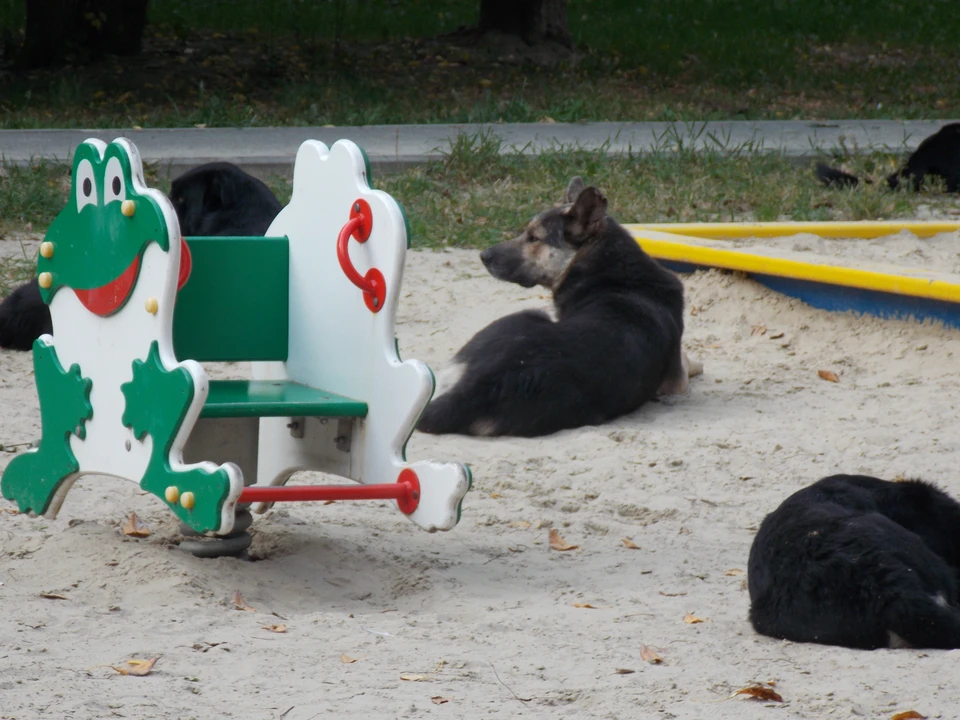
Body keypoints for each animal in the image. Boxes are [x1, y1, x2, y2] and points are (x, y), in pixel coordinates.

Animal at [416, 177, 700, 442]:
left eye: (534, 238)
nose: (483, 256)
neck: (618, 275)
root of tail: (476, 389)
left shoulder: (676, 382)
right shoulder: (676, 381)